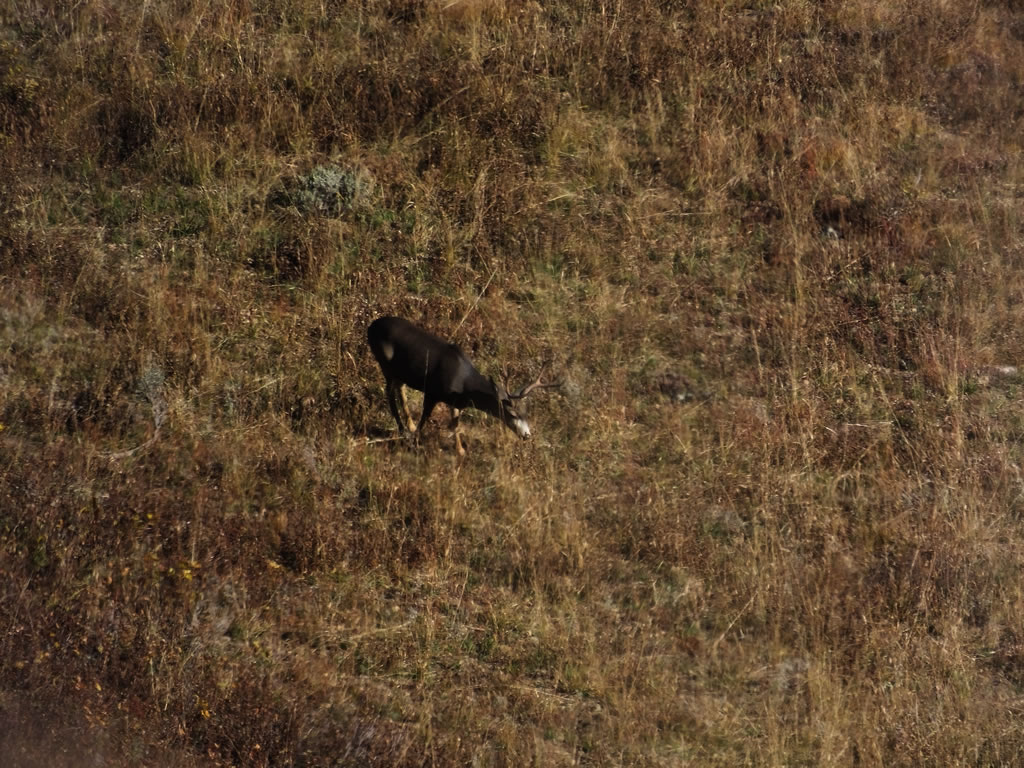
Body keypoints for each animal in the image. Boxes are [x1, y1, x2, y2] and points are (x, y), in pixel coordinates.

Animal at [366, 316, 555, 455]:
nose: (527, 435)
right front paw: (415, 442)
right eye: (512, 413)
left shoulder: (456, 402)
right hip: (385, 364)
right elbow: (425, 418)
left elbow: (456, 425)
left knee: (400, 388)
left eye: (526, 412)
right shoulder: (432, 392)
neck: (464, 386)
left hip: (400, 371)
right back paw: (402, 428)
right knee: (390, 394)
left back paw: (408, 425)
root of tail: (370, 327)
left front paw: (461, 450)